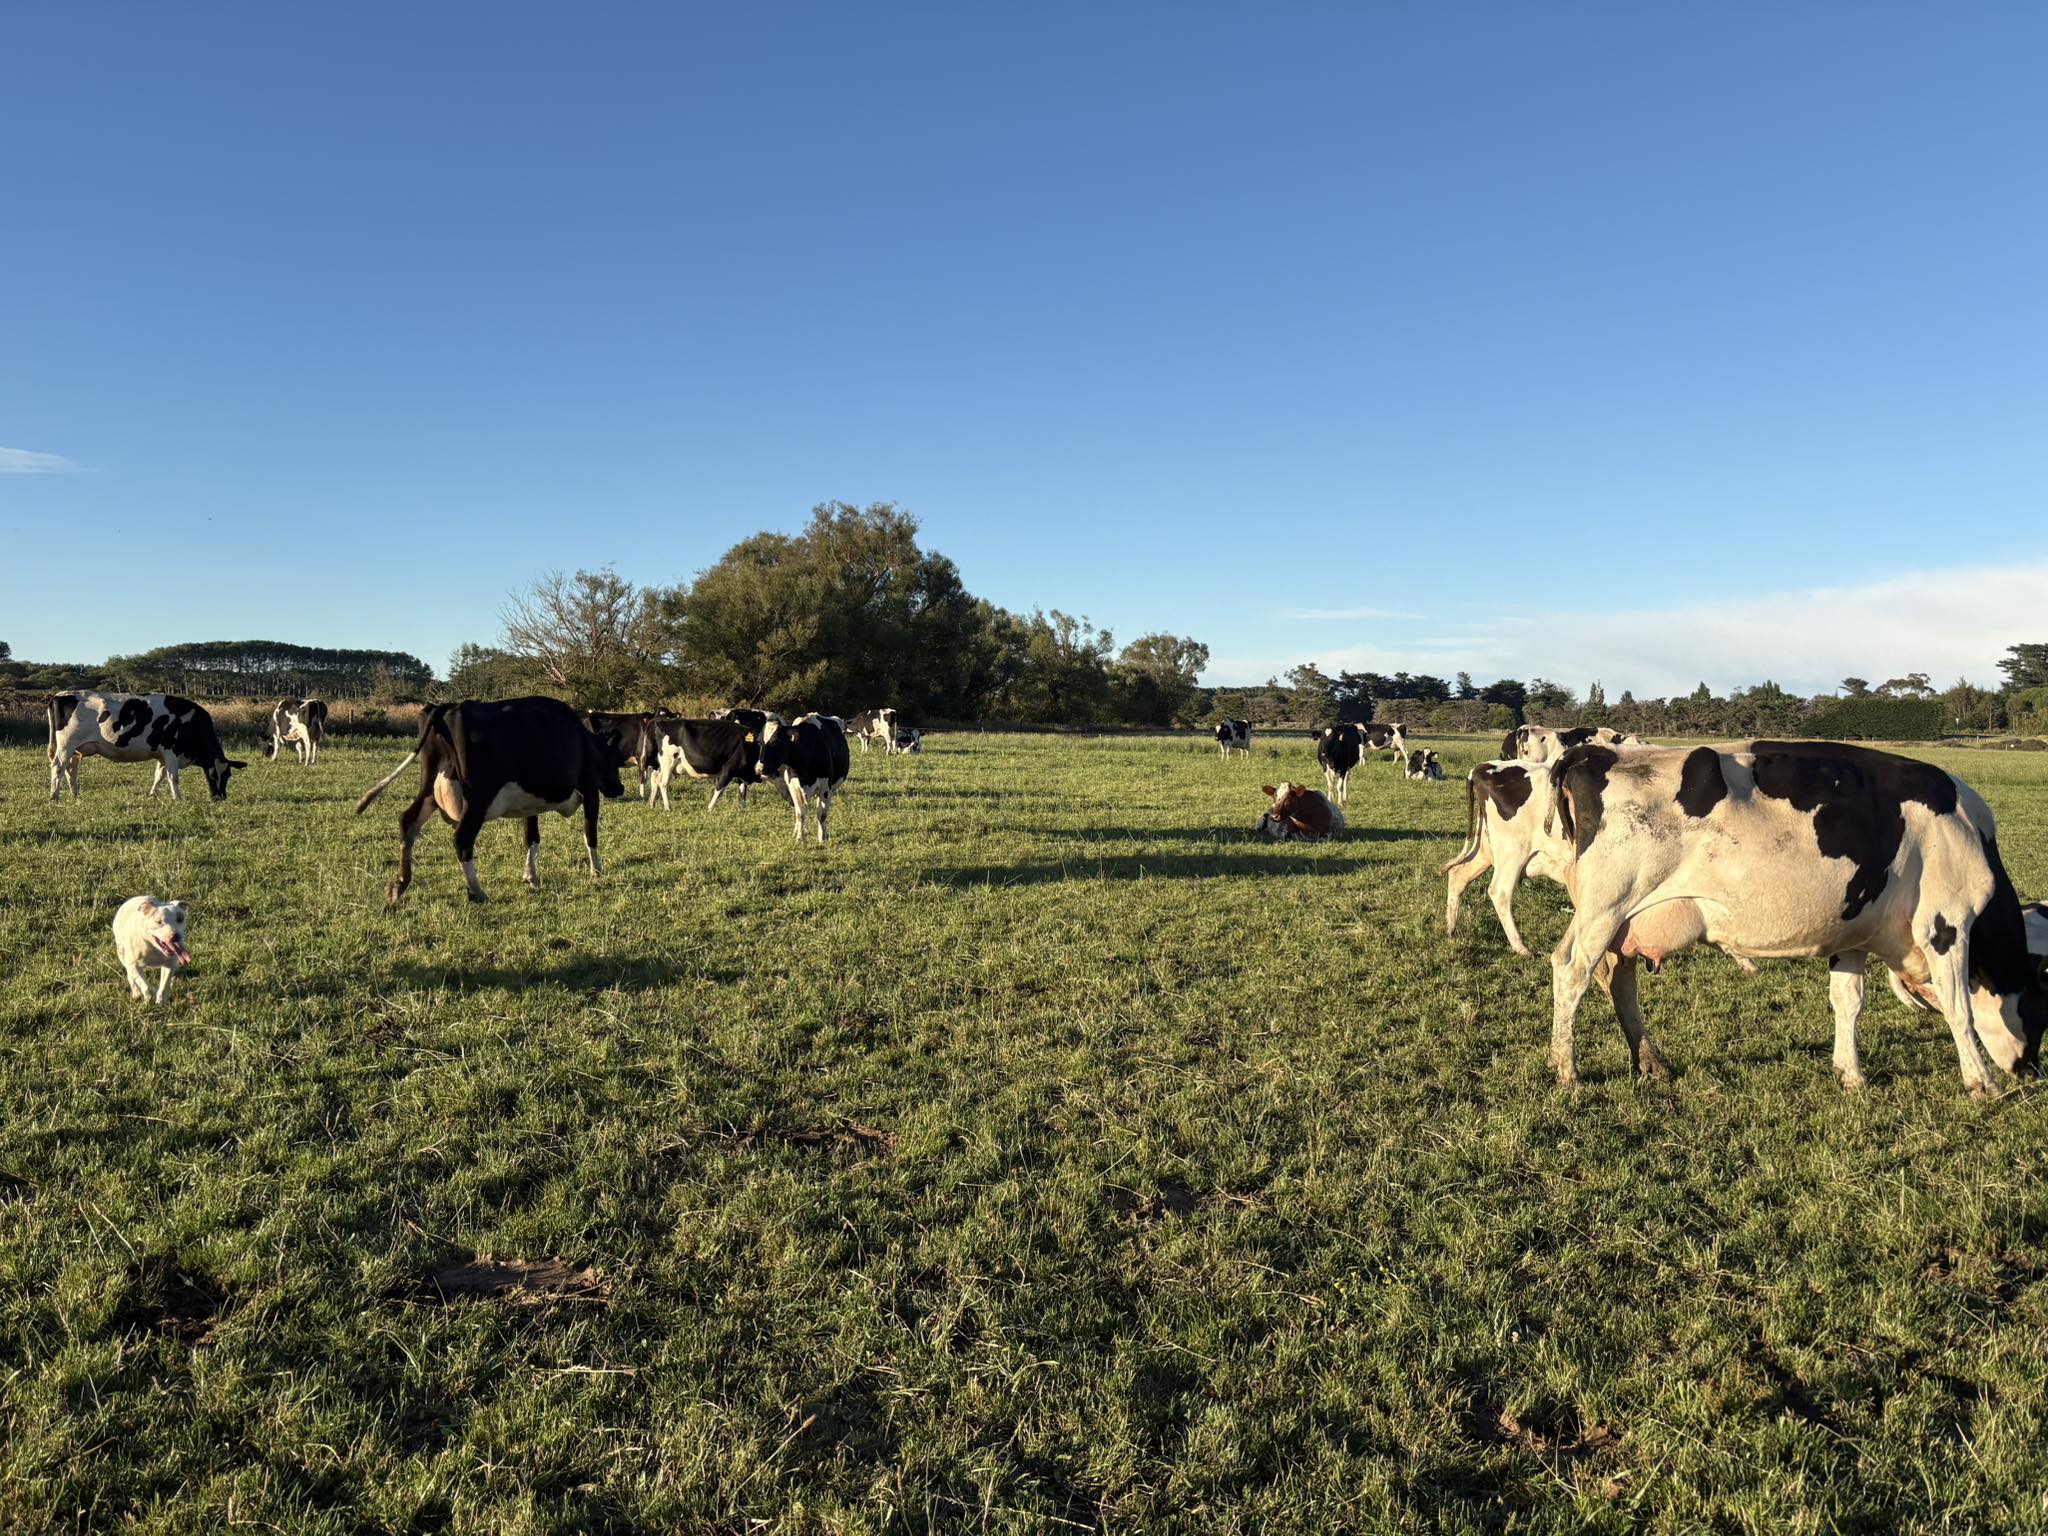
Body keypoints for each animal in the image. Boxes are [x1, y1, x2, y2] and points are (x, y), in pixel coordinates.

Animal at [47, 693, 247, 802]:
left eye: (228, 775)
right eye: (212, 775)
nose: (220, 797)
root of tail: (60, 695)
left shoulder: (162, 755)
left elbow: (159, 775)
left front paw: (153, 795)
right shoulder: (171, 752)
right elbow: (173, 777)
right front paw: (178, 798)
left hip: (76, 749)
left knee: (70, 770)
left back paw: (75, 795)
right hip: (66, 744)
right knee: (58, 767)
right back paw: (54, 797)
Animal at [353, 696, 625, 908]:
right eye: (614, 758)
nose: (619, 788)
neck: (586, 741)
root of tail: (449, 706)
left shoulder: (530, 804)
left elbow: (532, 838)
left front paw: (531, 877)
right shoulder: (590, 790)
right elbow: (590, 833)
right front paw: (596, 872)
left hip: (429, 789)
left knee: (408, 822)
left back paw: (400, 884)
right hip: (478, 799)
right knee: (462, 839)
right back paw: (477, 892)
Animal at [756, 713, 851, 845]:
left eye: (776, 742)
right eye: (760, 742)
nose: (759, 769)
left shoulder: (825, 788)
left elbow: (822, 814)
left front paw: (822, 838)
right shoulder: (793, 787)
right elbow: (800, 814)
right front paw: (800, 839)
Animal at [1544, 741, 2046, 1096]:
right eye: (2042, 1002)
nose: (2032, 1070)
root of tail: (1591, 752)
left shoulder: (1852, 932)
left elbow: (1848, 1001)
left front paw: (1850, 1074)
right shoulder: (1946, 924)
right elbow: (1960, 1008)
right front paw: (1982, 1083)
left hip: (1616, 918)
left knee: (1612, 976)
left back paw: (1648, 1062)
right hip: (1607, 906)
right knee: (1572, 971)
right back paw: (1568, 1069)